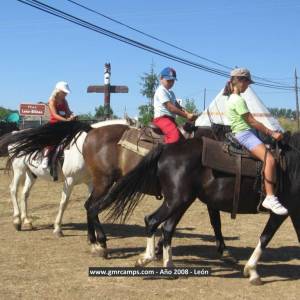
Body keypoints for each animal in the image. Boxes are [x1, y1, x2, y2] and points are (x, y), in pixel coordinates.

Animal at [96, 130, 300, 284]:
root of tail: (167, 149)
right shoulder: (284, 211)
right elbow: (265, 237)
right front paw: (252, 271)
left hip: (182, 201)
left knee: (167, 228)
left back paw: (169, 266)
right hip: (176, 200)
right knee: (152, 220)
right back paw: (144, 258)